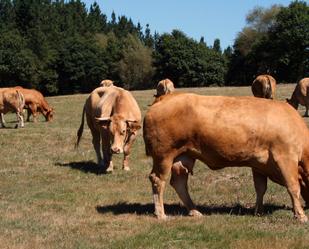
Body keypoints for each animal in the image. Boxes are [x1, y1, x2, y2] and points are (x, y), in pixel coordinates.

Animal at [143, 93, 309, 222]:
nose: (307, 207)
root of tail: (166, 97)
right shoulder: (285, 157)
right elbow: (293, 186)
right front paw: (300, 216)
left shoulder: (259, 165)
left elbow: (261, 188)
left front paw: (258, 211)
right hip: (164, 156)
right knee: (158, 180)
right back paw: (161, 214)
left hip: (184, 156)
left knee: (179, 182)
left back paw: (194, 211)